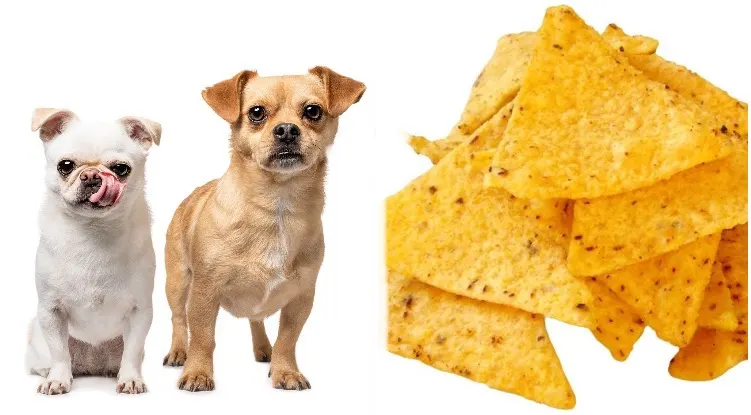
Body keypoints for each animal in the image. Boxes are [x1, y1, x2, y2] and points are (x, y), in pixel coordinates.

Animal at [26, 109, 160, 394]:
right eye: (65, 166)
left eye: (121, 169)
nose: (91, 176)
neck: (93, 231)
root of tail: (91, 365)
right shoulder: (51, 312)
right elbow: (59, 352)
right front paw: (58, 379)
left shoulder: (140, 312)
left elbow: (132, 351)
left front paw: (131, 379)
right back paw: (50, 372)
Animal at [163, 66, 366, 392]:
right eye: (256, 113)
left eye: (313, 111)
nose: (286, 130)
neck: (277, 206)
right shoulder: (205, 293)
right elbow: (204, 337)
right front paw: (198, 373)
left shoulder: (301, 298)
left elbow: (288, 339)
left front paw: (285, 371)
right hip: (178, 282)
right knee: (179, 319)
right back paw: (179, 352)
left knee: (255, 319)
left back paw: (263, 350)